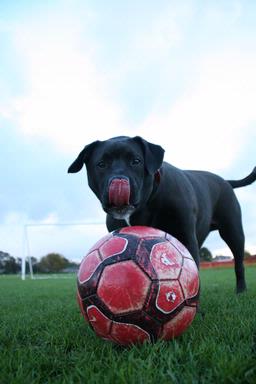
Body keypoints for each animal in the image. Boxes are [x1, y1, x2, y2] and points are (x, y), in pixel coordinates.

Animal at [68, 136, 256, 292]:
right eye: (101, 164)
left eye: (136, 161)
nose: (118, 180)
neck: (147, 202)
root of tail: (226, 181)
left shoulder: (186, 237)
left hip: (233, 231)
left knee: (239, 263)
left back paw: (241, 291)